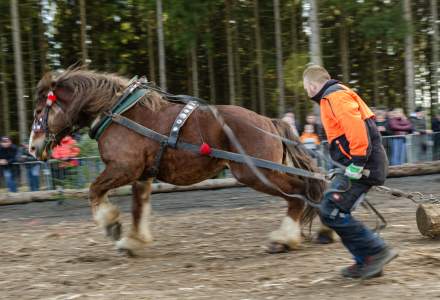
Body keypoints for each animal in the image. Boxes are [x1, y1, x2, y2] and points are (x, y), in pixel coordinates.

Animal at [29, 69, 330, 255]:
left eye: (39, 110)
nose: (32, 147)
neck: (116, 112)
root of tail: (269, 121)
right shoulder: (142, 174)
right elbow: (138, 207)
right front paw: (134, 241)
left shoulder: (124, 168)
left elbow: (94, 190)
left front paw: (112, 225)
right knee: (311, 186)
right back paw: (324, 231)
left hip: (255, 172)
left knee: (300, 191)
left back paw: (284, 239)